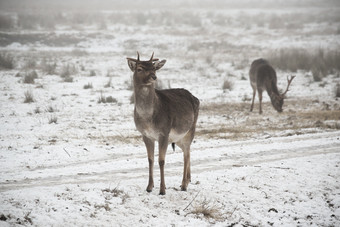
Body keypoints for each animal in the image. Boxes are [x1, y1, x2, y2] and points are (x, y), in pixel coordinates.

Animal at [127, 51, 199, 195]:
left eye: (154, 68)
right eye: (139, 68)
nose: (154, 77)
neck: (148, 119)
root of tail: (196, 98)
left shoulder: (164, 132)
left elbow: (161, 161)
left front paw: (162, 189)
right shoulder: (145, 135)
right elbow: (150, 160)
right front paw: (149, 187)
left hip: (190, 129)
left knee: (186, 154)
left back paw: (184, 184)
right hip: (178, 138)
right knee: (186, 151)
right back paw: (188, 180)